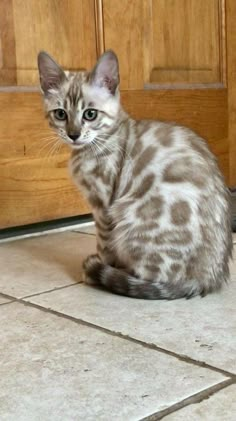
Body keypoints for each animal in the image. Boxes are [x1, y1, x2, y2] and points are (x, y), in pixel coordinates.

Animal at [37, 49, 232, 298]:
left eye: (90, 114)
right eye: (61, 114)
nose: (73, 134)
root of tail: (207, 279)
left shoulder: (103, 207)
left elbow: (104, 245)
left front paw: (101, 266)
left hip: (129, 216)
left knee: (149, 277)